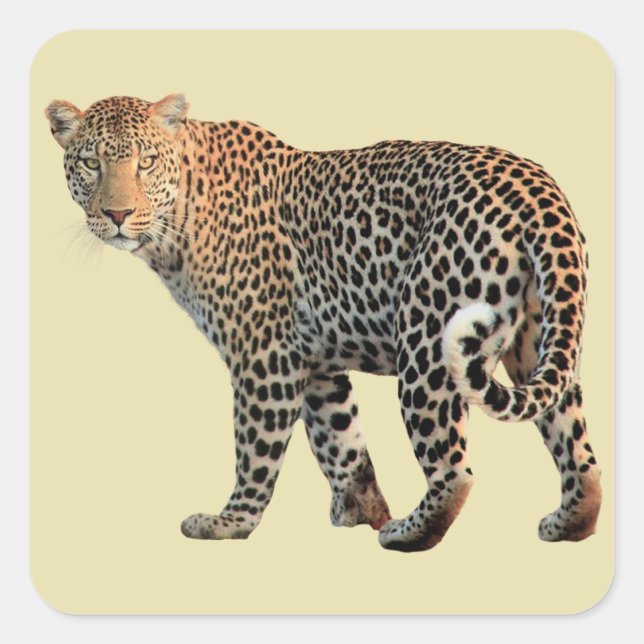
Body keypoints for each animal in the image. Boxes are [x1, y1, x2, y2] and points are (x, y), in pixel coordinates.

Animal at [45, 94, 601, 552]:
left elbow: (256, 447)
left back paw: (407, 534)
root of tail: (536, 188)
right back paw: (568, 523)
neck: (178, 218)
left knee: (454, 470)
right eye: (92, 163)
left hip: (427, 340)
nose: (118, 214)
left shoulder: (263, 354)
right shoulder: (313, 359)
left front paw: (231, 523)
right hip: (540, 337)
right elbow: (341, 439)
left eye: (146, 162)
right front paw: (361, 510)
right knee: (578, 448)